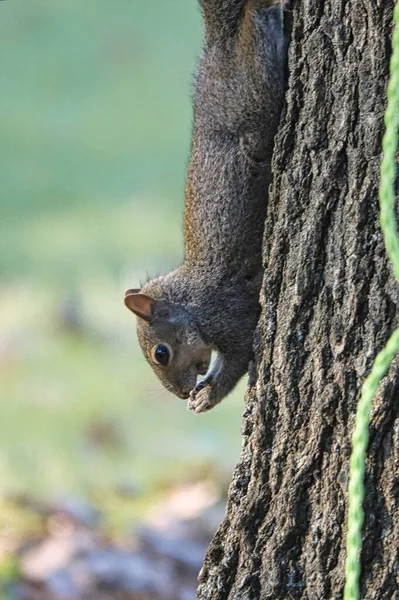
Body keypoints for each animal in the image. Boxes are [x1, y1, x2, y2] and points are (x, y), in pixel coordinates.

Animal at [126, 0, 292, 412]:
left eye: (161, 353)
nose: (182, 392)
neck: (192, 302)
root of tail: (217, 43)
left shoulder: (230, 315)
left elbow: (237, 359)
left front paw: (205, 397)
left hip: (254, 92)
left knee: (254, 32)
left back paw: (263, 9)